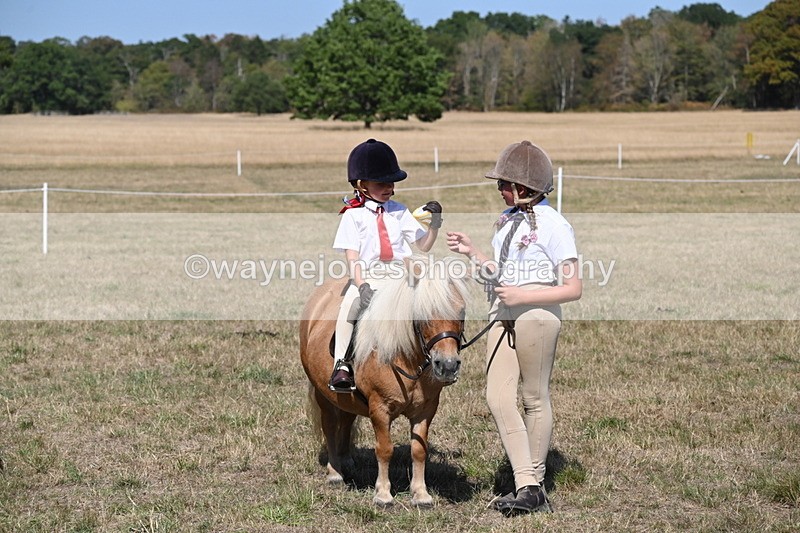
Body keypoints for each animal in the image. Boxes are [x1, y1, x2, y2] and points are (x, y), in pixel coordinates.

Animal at [299, 264, 468, 507]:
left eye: (461, 312)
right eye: (422, 314)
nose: (447, 365)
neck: (406, 358)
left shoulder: (426, 410)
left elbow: (419, 450)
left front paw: (421, 494)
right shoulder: (380, 408)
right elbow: (385, 449)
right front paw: (383, 494)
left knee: (347, 419)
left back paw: (346, 460)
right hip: (323, 393)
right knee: (330, 425)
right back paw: (335, 473)